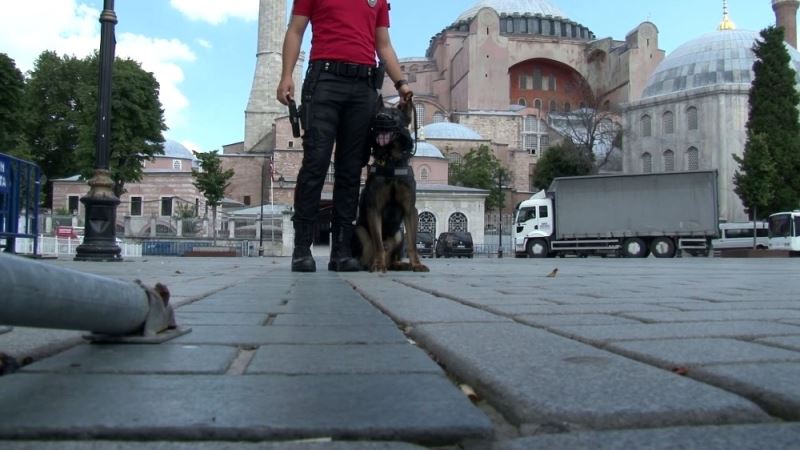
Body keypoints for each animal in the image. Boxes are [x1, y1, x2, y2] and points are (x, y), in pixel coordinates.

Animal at [354, 98, 432, 272]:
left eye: (395, 114)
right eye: (378, 113)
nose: (381, 118)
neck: (391, 161)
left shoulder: (410, 210)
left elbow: (412, 243)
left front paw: (416, 264)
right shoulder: (374, 208)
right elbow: (378, 243)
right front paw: (378, 264)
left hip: (398, 234)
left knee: (393, 258)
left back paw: (401, 264)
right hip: (360, 231)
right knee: (370, 251)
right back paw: (373, 263)